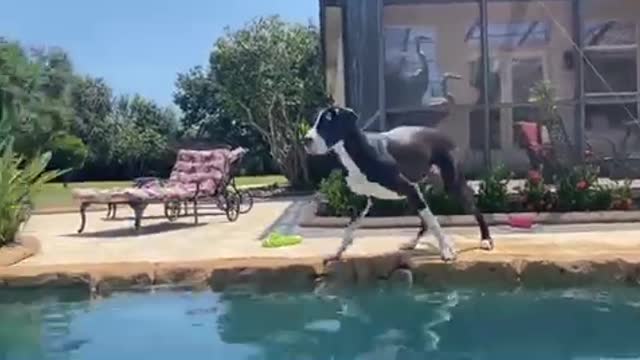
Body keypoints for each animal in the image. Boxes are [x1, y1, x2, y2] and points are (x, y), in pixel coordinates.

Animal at [302, 106, 492, 262]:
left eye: (328, 121)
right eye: (315, 120)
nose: (306, 139)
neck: (357, 153)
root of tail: (443, 134)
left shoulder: (408, 188)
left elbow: (434, 222)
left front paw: (446, 251)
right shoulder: (363, 200)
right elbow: (349, 230)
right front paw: (337, 253)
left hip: (450, 185)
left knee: (474, 210)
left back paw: (486, 240)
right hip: (417, 192)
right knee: (425, 219)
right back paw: (411, 243)